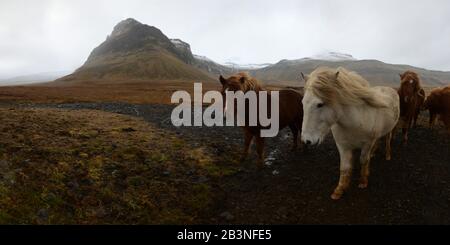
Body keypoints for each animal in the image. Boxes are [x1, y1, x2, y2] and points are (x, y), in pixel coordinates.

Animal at [300, 66, 400, 199]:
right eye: (302, 102)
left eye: (320, 104)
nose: (307, 140)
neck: (354, 122)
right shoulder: (343, 146)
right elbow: (344, 167)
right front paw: (339, 190)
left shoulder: (367, 144)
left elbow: (364, 160)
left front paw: (363, 181)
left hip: (389, 129)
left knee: (387, 140)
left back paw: (388, 155)